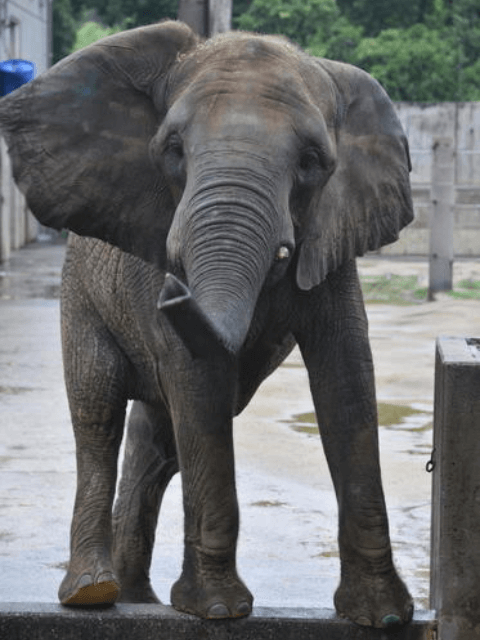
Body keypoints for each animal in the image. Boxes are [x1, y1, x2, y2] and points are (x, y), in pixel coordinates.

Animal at [0, 21, 414, 632]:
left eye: (312, 160)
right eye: (173, 151)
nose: (176, 289)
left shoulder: (333, 240)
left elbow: (347, 382)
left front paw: (383, 617)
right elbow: (199, 384)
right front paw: (218, 611)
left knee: (157, 443)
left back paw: (139, 599)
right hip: (80, 296)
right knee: (99, 415)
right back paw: (94, 593)